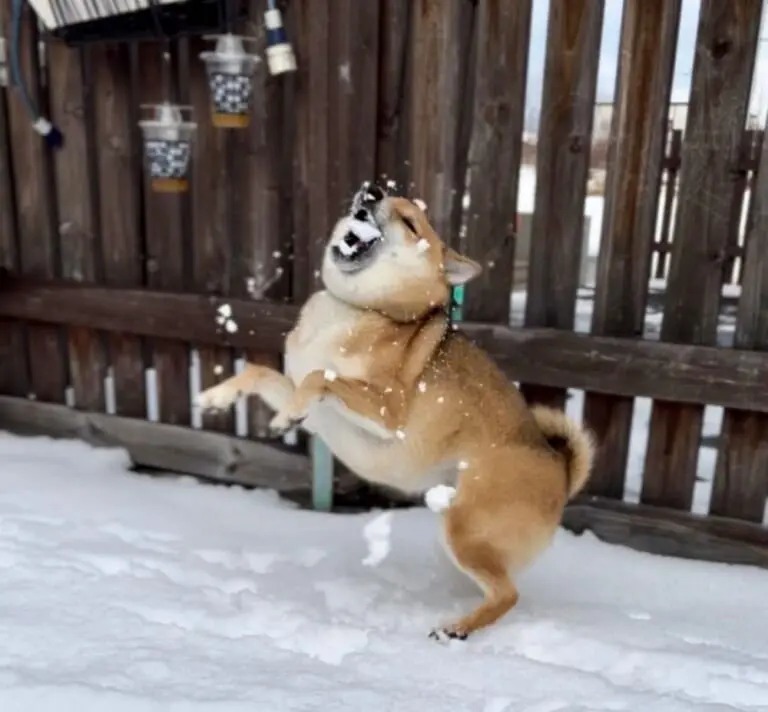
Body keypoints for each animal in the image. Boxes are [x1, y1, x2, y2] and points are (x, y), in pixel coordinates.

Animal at [196, 182, 592, 640]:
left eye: (410, 222)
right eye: (383, 196)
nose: (371, 190)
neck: (358, 308)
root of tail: (561, 469)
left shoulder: (389, 411)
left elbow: (320, 376)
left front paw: (283, 418)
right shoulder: (316, 409)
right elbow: (262, 373)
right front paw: (216, 397)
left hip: (465, 529)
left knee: (507, 595)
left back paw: (457, 629)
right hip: (458, 536)